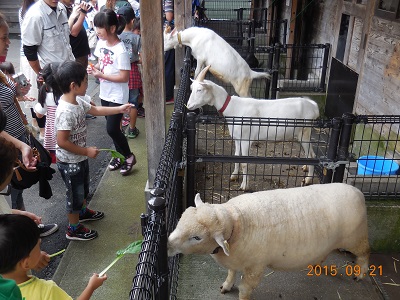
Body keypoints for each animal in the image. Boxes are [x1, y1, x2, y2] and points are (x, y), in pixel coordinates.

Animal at [167, 183, 370, 300]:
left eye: (197, 237)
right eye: (182, 218)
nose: (167, 245)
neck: (237, 222)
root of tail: (357, 191)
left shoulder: (256, 267)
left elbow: (245, 289)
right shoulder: (235, 259)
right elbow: (231, 272)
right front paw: (226, 285)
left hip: (356, 237)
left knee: (365, 253)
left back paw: (360, 274)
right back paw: (318, 263)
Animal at [188, 65, 322, 190]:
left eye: (200, 90)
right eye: (192, 88)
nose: (188, 105)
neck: (233, 108)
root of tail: (314, 106)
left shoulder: (246, 139)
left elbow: (245, 163)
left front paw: (244, 186)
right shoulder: (237, 138)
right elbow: (236, 156)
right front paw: (234, 175)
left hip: (305, 131)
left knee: (312, 155)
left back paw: (308, 179)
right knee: (310, 152)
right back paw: (305, 167)